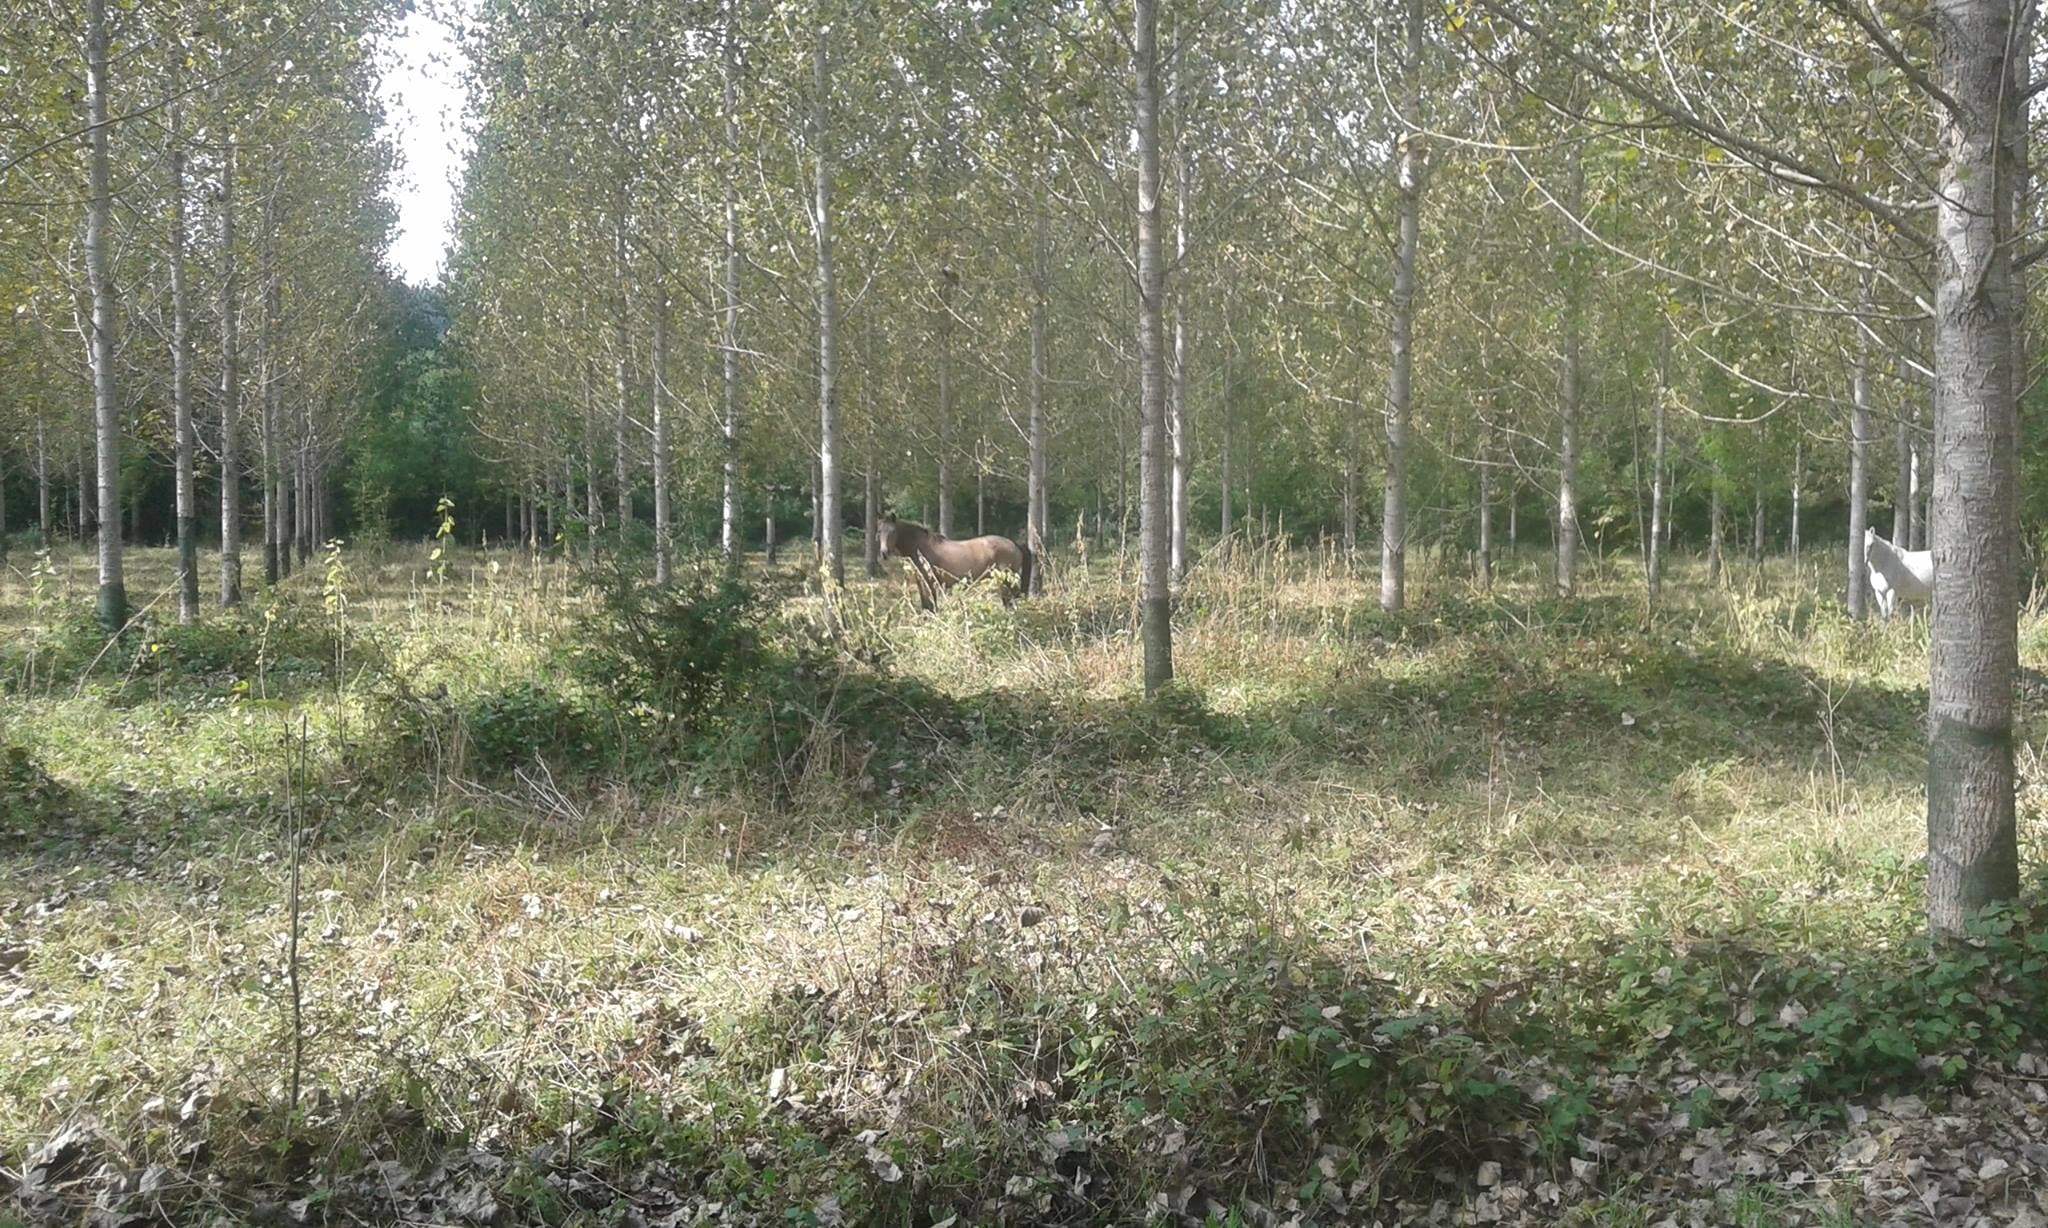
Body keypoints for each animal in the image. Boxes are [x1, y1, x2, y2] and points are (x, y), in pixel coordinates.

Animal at [877, 515, 1034, 610]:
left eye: (893, 531)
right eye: (879, 531)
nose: (884, 553)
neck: (921, 548)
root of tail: (1015, 545)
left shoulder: (930, 583)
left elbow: (932, 607)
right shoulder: (921, 583)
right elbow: (926, 606)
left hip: (1006, 582)